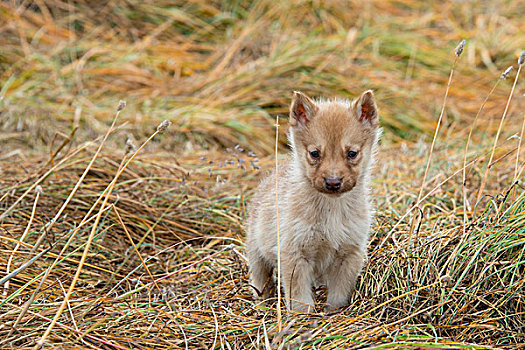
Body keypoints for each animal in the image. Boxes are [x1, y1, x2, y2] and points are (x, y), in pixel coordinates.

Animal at [244, 90, 378, 312]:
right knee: (260, 281)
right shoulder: (295, 254)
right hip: (256, 254)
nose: (333, 182)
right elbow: (299, 298)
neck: (331, 209)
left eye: (352, 153)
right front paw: (303, 318)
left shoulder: (349, 253)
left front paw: (333, 312)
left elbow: (339, 294)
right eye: (315, 153)